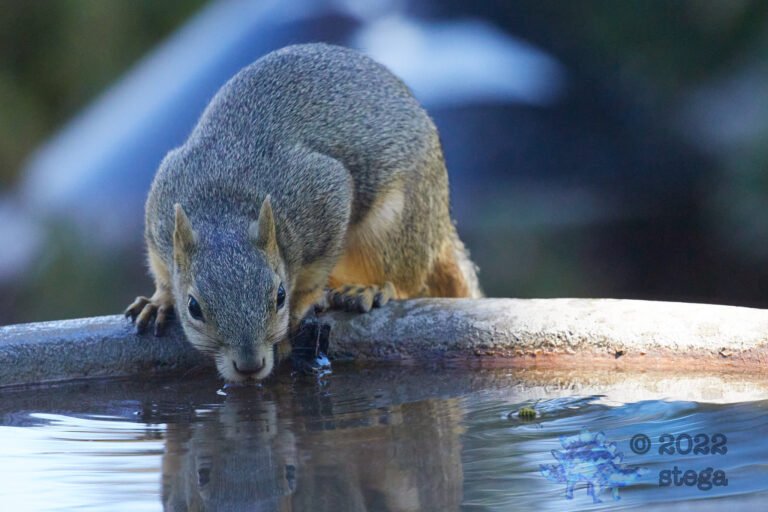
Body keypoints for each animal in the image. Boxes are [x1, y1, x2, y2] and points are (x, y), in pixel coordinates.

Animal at [126, 43, 482, 382]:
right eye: (194, 307)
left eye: (280, 296)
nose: (250, 365)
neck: (224, 205)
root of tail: (441, 225)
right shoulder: (160, 213)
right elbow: (163, 272)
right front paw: (159, 300)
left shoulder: (324, 197)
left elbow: (313, 274)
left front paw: (300, 308)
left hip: (395, 227)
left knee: (405, 280)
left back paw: (371, 288)